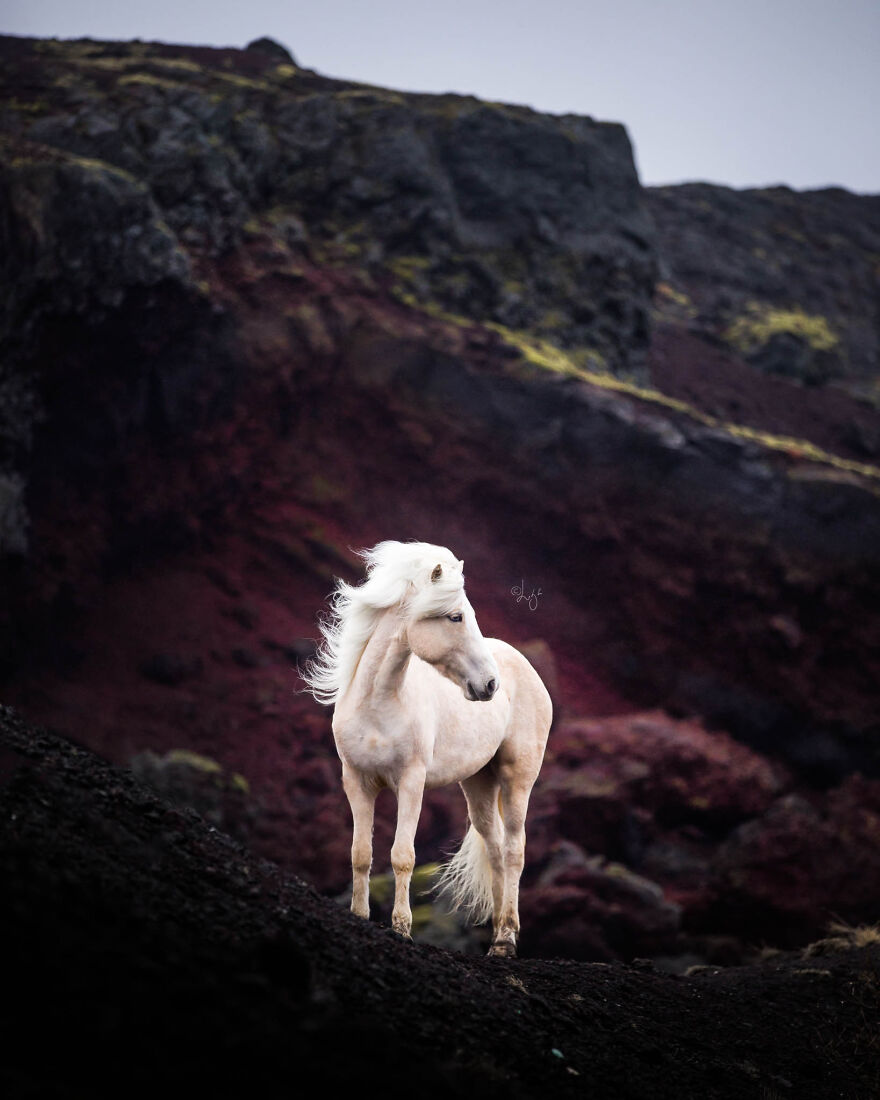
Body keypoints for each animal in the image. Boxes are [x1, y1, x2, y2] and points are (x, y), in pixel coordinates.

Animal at [302, 540, 552, 957]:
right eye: (455, 617)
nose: (490, 685)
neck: (379, 704)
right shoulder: (356, 782)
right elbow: (360, 854)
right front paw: (359, 918)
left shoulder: (411, 782)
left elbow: (402, 856)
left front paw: (402, 929)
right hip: (478, 785)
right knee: (496, 850)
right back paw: (496, 939)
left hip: (517, 778)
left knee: (514, 850)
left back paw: (506, 940)